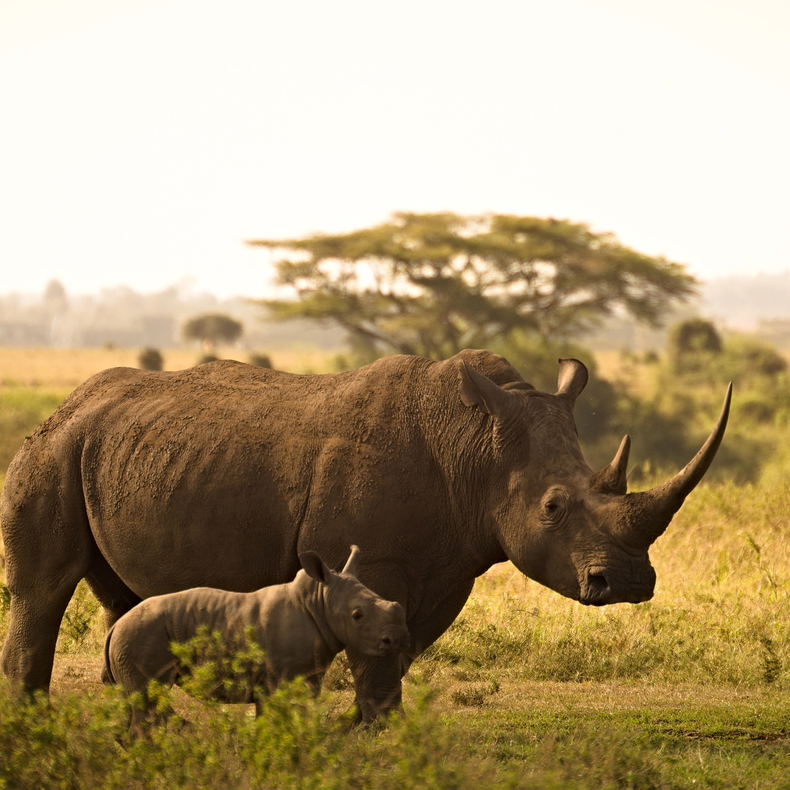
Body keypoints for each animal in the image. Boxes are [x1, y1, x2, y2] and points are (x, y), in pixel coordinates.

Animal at [103, 545, 408, 728]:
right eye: (357, 615)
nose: (396, 640)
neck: (318, 602)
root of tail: (114, 629)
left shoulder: (299, 677)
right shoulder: (281, 678)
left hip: (133, 639)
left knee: (133, 703)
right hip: (140, 636)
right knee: (148, 702)